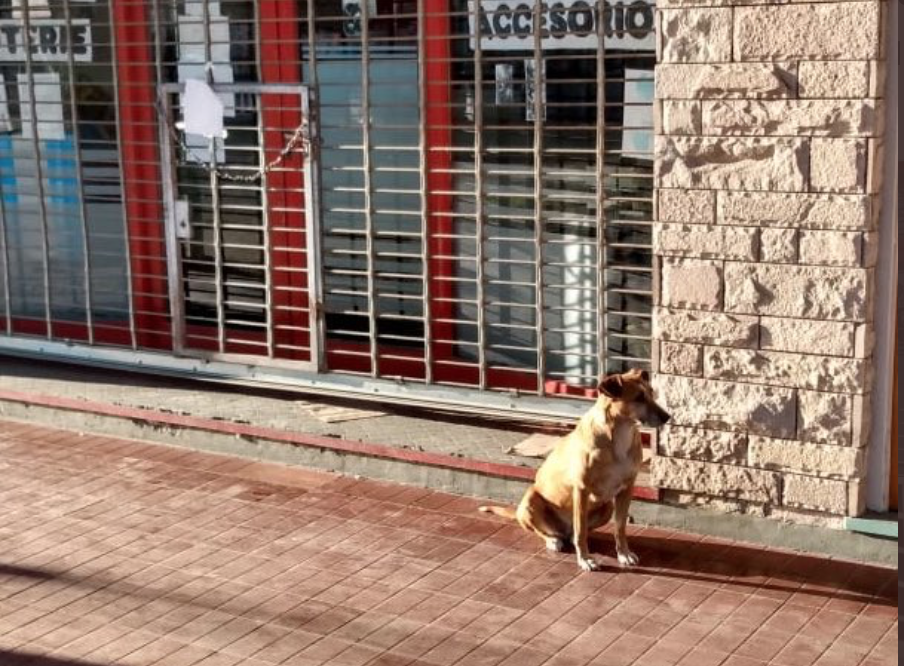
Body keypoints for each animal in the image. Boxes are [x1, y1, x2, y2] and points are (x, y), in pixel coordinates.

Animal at [484, 366, 668, 568]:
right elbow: (581, 530)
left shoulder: (626, 489)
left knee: (575, 533)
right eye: (639, 398)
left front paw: (623, 554)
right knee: (545, 531)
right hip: (530, 500)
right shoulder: (581, 489)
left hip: (607, 507)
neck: (620, 433)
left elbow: (620, 527)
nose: (668, 417)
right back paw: (553, 540)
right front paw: (585, 559)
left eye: (651, 392)